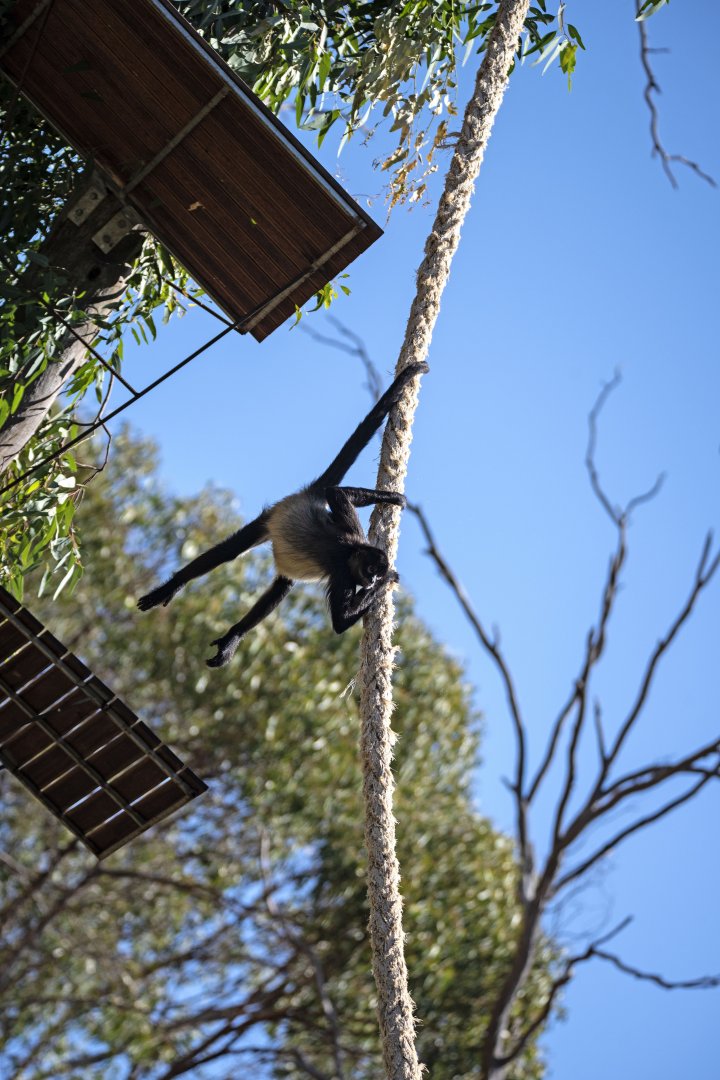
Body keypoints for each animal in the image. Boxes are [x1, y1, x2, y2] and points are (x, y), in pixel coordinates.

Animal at [137, 362, 428, 667]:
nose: (372, 581)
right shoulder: (343, 573)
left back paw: (232, 638)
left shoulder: (353, 532)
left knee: (282, 585)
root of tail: (307, 497)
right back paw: (172, 586)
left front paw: (395, 499)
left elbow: (338, 494)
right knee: (230, 552)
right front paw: (391, 577)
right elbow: (340, 622)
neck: (352, 550)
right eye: (371, 571)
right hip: (271, 518)